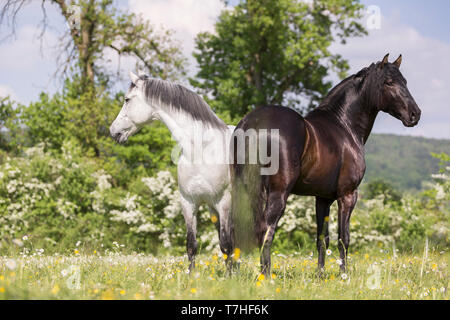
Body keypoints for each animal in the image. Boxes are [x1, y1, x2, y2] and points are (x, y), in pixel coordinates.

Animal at [232, 54, 422, 276]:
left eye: (405, 82)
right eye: (389, 82)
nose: (415, 114)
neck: (344, 125)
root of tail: (252, 123)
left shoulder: (322, 198)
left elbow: (322, 239)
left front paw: (320, 275)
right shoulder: (347, 195)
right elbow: (343, 239)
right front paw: (343, 274)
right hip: (278, 194)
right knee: (265, 231)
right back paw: (266, 275)